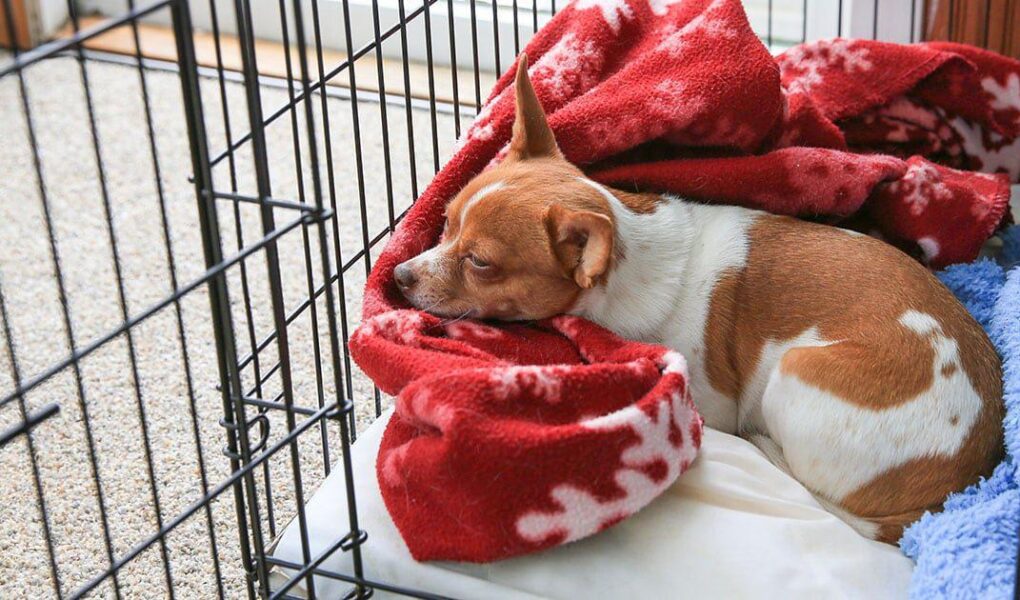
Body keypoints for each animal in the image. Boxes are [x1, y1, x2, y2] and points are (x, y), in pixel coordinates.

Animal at [391, 57, 1003, 542]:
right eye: (445, 224)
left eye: (480, 263)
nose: (398, 276)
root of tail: (952, 487)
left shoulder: (712, 400)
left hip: (796, 371)